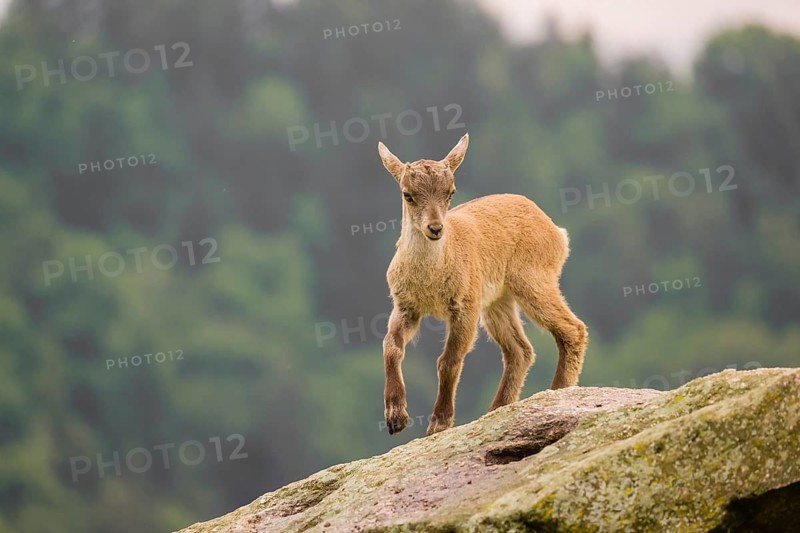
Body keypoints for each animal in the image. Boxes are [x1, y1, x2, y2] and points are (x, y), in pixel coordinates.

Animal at [378, 133, 588, 436]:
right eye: (408, 194)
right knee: (520, 351)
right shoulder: (406, 307)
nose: (435, 228)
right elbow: (391, 346)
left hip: (533, 280)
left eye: (451, 192)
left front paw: (439, 423)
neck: (431, 277)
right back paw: (496, 409)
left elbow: (449, 361)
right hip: (499, 301)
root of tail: (556, 232)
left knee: (572, 329)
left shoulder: (465, 307)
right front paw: (396, 417)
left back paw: (557, 391)